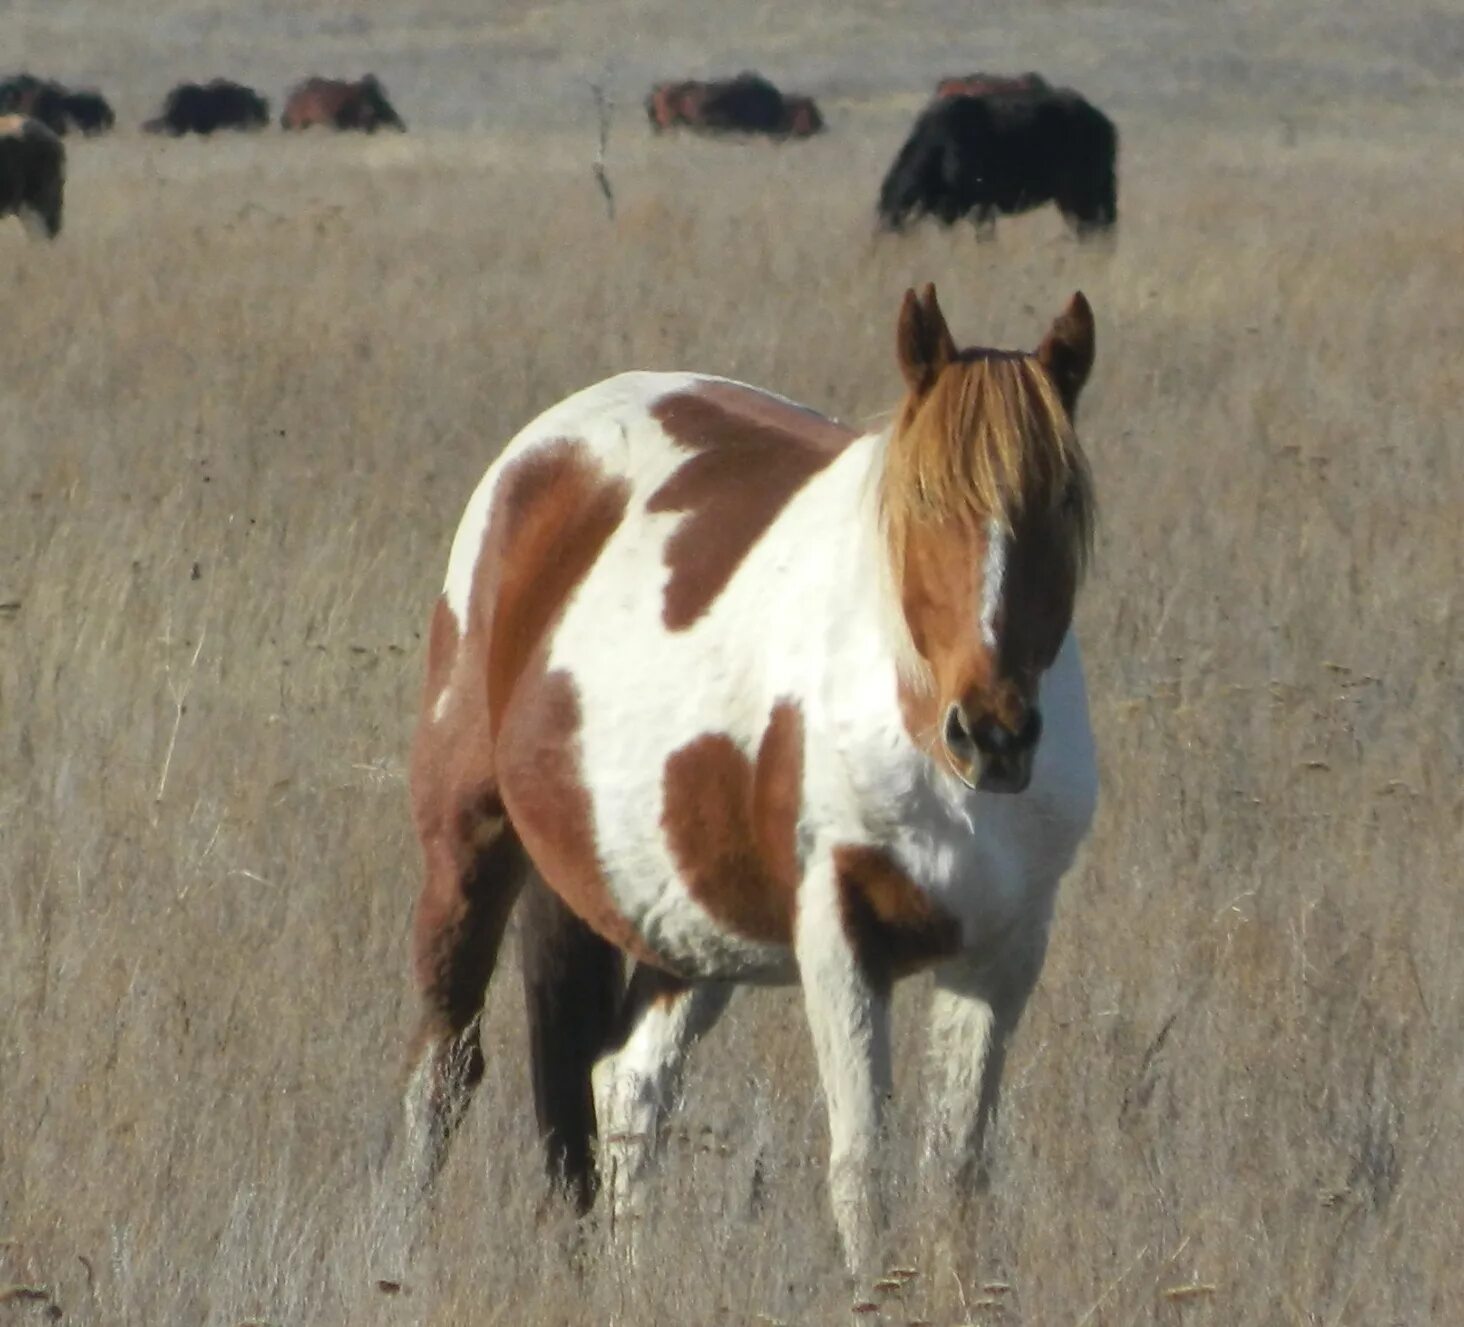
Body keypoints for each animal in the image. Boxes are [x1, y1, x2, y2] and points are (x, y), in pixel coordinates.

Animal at [404, 281, 1100, 1271]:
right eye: (926, 498)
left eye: (1062, 504)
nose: (992, 734)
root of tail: (541, 453)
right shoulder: (843, 939)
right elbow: (862, 1165)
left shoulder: (1001, 952)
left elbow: (957, 1175)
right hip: (469, 844)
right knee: (445, 1066)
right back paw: (401, 1246)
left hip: (683, 923)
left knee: (627, 1085)